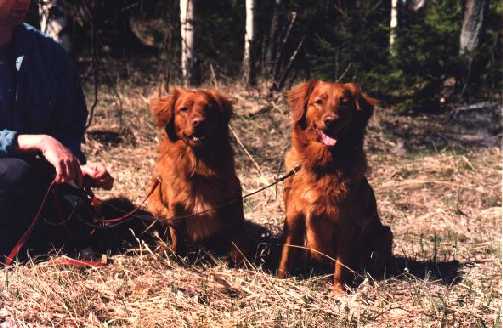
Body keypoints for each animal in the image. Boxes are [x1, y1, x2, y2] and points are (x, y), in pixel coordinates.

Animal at [147, 88, 249, 264]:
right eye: (184, 109)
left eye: (209, 108)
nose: (199, 122)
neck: (199, 162)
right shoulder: (176, 208)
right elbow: (177, 236)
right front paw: (177, 256)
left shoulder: (233, 201)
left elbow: (237, 236)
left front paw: (238, 260)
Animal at [280, 80, 394, 294]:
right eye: (319, 101)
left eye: (345, 103)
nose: (331, 121)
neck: (323, 165)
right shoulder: (294, 216)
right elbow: (287, 252)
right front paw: (280, 278)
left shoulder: (346, 224)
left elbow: (341, 264)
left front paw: (339, 291)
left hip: (384, 234)